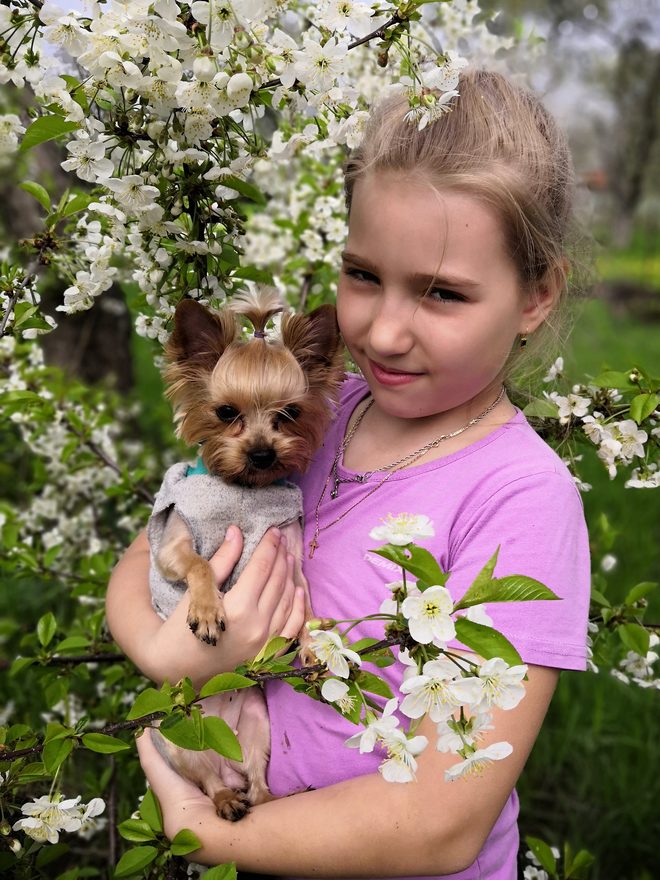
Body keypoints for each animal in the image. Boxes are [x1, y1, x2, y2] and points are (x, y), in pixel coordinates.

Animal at [146, 288, 342, 820]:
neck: (245, 493)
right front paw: (207, 611)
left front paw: (314, 643)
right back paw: (225, 802)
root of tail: (220, 741)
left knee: (256, 780)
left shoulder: (291, 560)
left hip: (257, 727)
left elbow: (309, 605)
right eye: (225, 412)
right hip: (173, 740)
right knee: (210, 780)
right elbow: (197, 563)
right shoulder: (173, 545)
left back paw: (267, 798)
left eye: (290, 413)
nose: (261, 454)